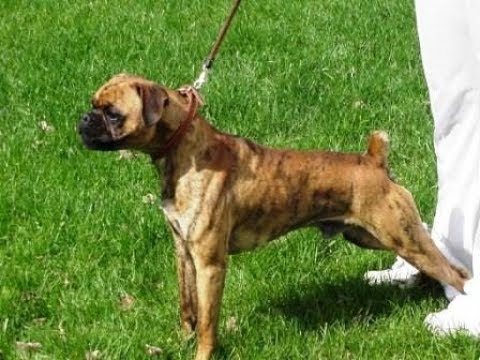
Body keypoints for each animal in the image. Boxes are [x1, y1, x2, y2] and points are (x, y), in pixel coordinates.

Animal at [79, 74, 468, 360]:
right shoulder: (184, 253)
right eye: (94, 105)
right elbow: (188, 309)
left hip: (399, 236)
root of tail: (373, 160)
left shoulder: (210, 263)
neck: (184, 150)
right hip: (373, 236)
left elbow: (207, 321)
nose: (83, 119)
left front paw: (202, 353)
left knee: (456, 273)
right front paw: (181, 342)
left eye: (112, 113)